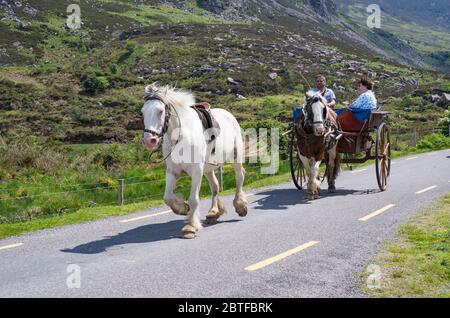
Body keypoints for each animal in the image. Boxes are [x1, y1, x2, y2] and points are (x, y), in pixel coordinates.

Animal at [142, 84, 248, 238]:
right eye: (142, 112)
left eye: (160, 111)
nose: (149, 140)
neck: (181, 136)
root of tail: (228, 114)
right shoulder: (173, 170)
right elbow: (167, 197)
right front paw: (182, 208)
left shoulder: (197, 170)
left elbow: (193, 199)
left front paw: (190, 227)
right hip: (208, 169)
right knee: (215, 187)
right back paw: (213, 213)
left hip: (235, 157)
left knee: (239, 177)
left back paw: (240, 206)